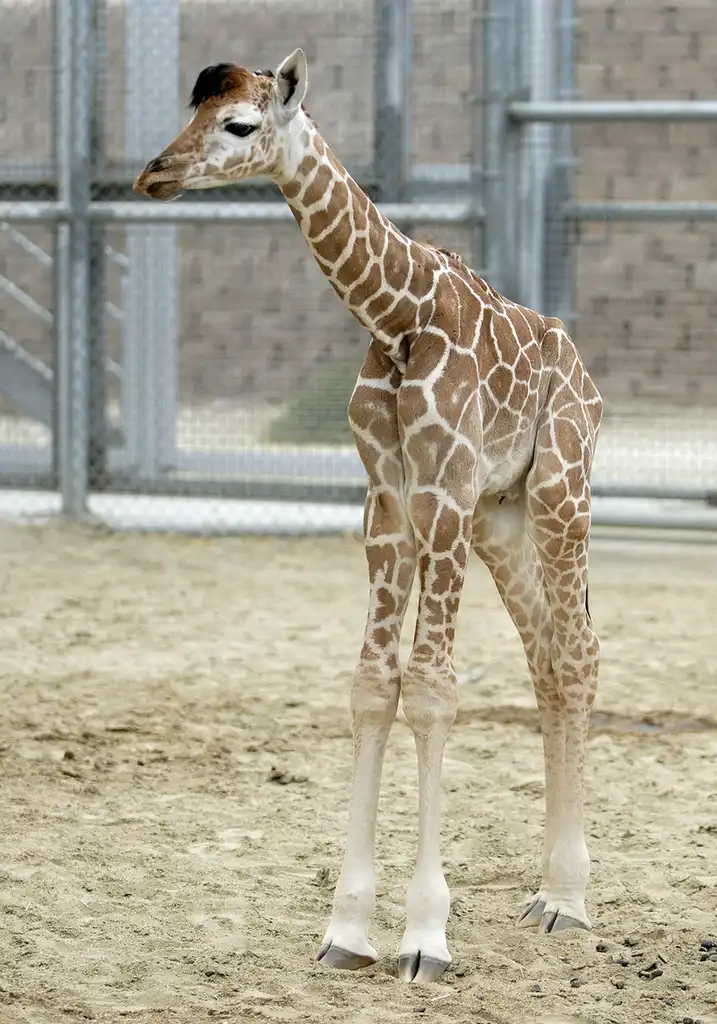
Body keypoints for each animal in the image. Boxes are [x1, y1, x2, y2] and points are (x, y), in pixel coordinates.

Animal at [134, 50, 603, 984]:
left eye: (239, 124)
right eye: (190, 112)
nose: (153, 174)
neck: (396, 313)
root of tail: (589, 381)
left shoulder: (442, 495)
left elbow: (429, 693)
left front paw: (426, 937)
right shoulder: (387, 504)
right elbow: (369, 688)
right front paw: (347, 928)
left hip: (559, 495)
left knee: (577, 657)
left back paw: (568, 900)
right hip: (503, 522)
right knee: (544, 658)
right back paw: (543, 890)